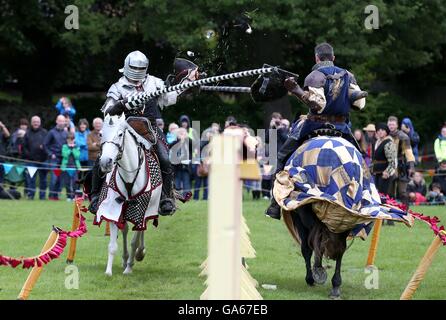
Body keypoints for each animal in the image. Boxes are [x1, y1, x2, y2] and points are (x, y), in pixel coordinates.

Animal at [96, 113, 163, 276]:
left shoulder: (142, 211)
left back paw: (138, 254)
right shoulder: (113, 208)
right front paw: (108, 271)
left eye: (120, 134)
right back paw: (125, 258)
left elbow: (135, 240)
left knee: (142, 229)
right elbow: (113, 244)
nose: (106, 162)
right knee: (126, 230)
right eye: (100, 133)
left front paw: (129, 268)